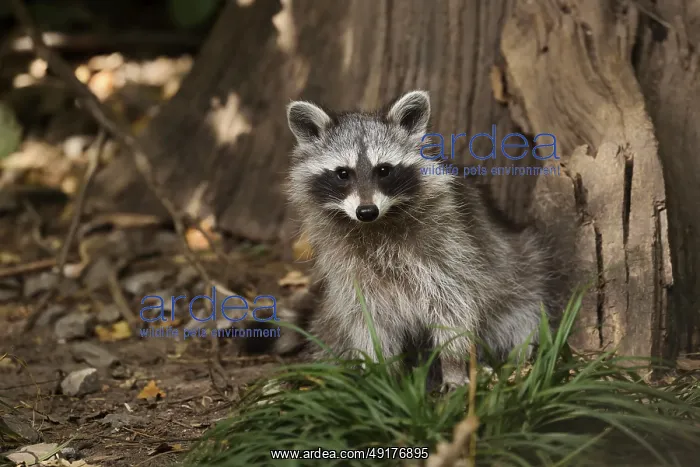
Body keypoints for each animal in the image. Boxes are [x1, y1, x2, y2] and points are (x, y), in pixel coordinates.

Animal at [279, 90, 571, 390]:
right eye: (343, 173)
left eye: (383, 170)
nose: (366, 211)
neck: (376, 226)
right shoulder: (348, 266)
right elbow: (366, 318)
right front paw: (381, 372)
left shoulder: (449, 249)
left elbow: (453, 308)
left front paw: (454, 367)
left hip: (522, 275)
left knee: (522, 319)